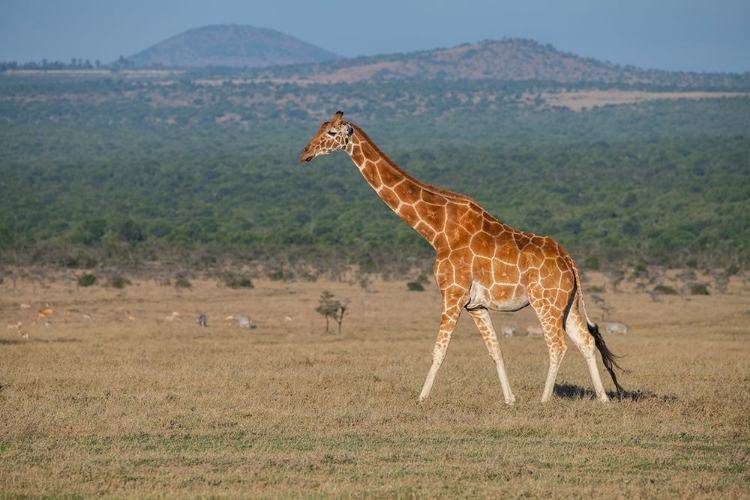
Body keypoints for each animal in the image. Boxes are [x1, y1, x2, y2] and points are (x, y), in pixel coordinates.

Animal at [300, 111, 624, 404]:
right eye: (320, 127)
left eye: (331, 133)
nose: (305, 153)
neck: (437, 231)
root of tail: (570, 261)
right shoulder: (475, 305)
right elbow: (496, 350)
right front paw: (510, 399)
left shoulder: (452, 294)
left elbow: (439, 350)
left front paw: (421, 398)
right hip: (566, 303)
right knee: (585, 340)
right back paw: (603, 399)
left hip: (545, 301)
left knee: (557, 345)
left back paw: (545, 399)